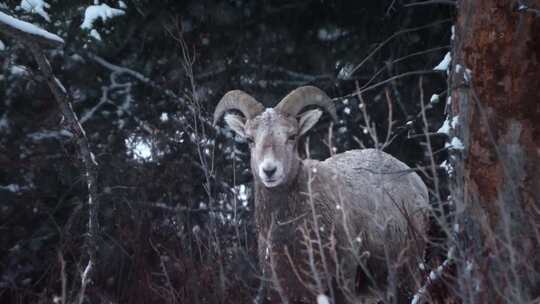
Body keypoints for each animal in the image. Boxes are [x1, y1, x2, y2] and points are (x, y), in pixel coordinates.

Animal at [213, 86, 428, 302]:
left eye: (292, 136)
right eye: (250, 139)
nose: (269, 170)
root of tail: (413, 177)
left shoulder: (342, 283)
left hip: (411, 266)